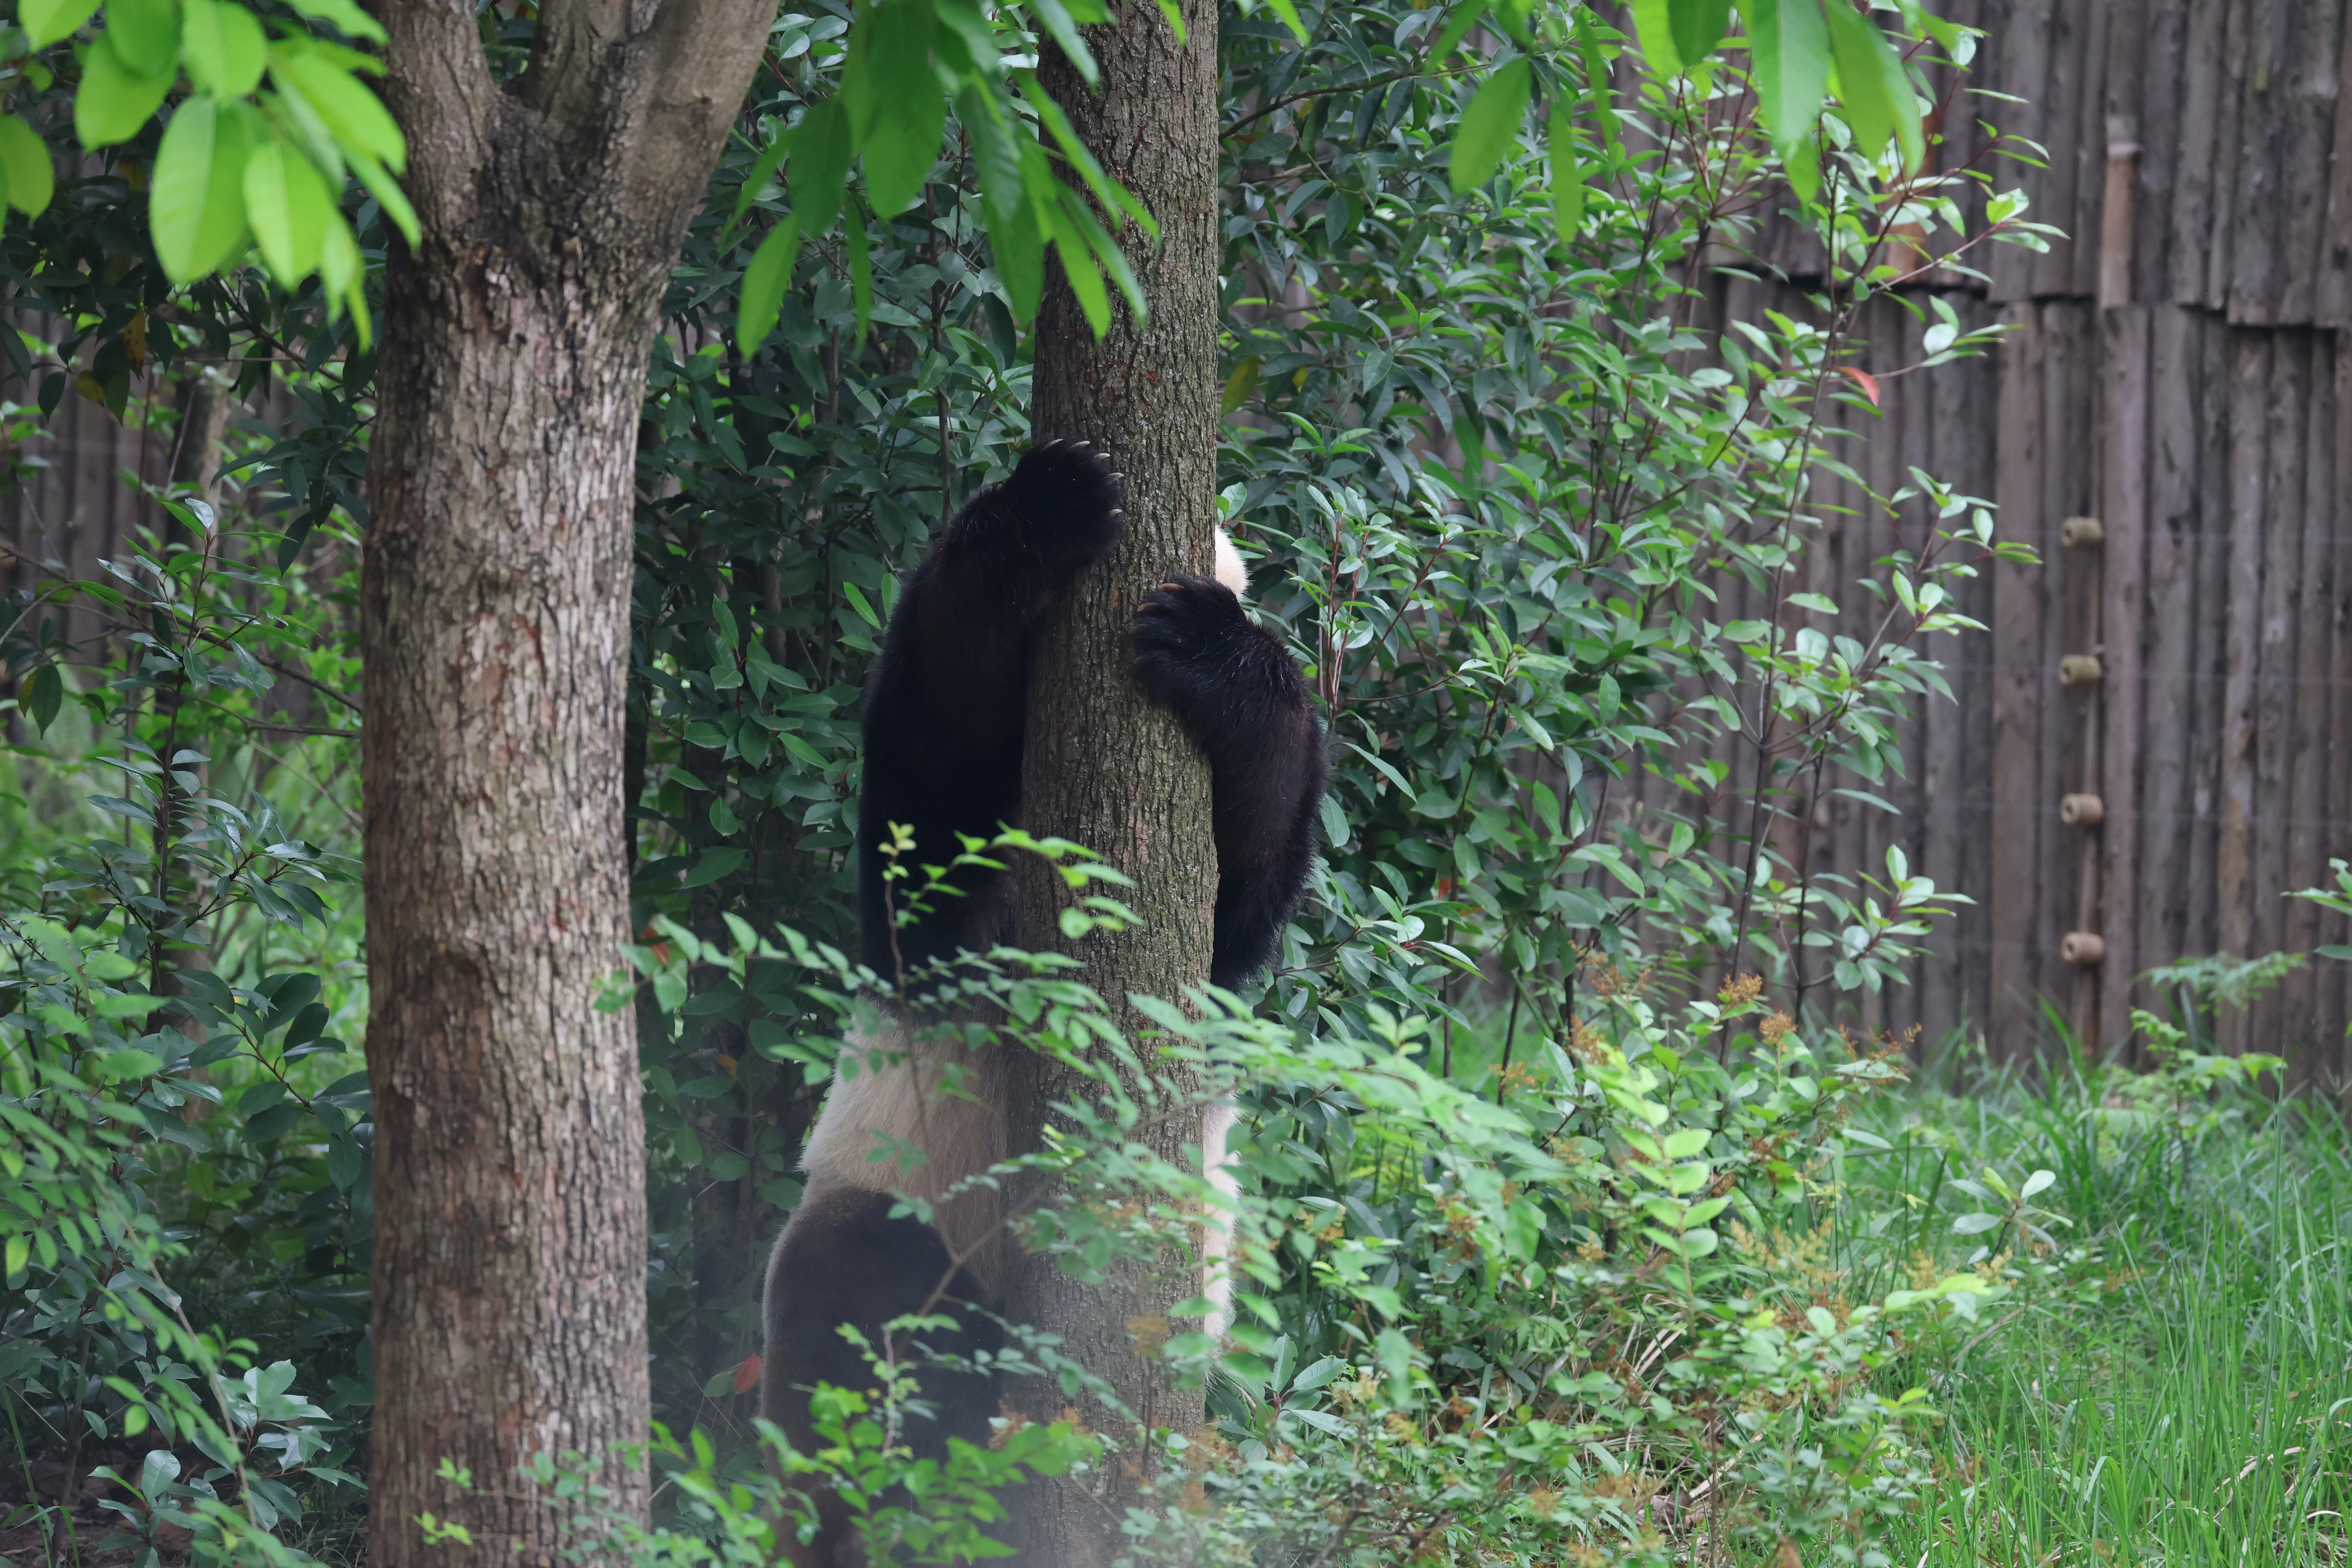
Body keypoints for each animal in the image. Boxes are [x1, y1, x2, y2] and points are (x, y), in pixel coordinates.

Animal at [758, 439, 1324, 1553]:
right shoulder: (947, 897)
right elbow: (934, 759)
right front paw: (1049, 509)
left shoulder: (1212, 938)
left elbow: (1244, 885)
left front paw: (1212, 652)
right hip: (891, 1188)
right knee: (870, 1295)